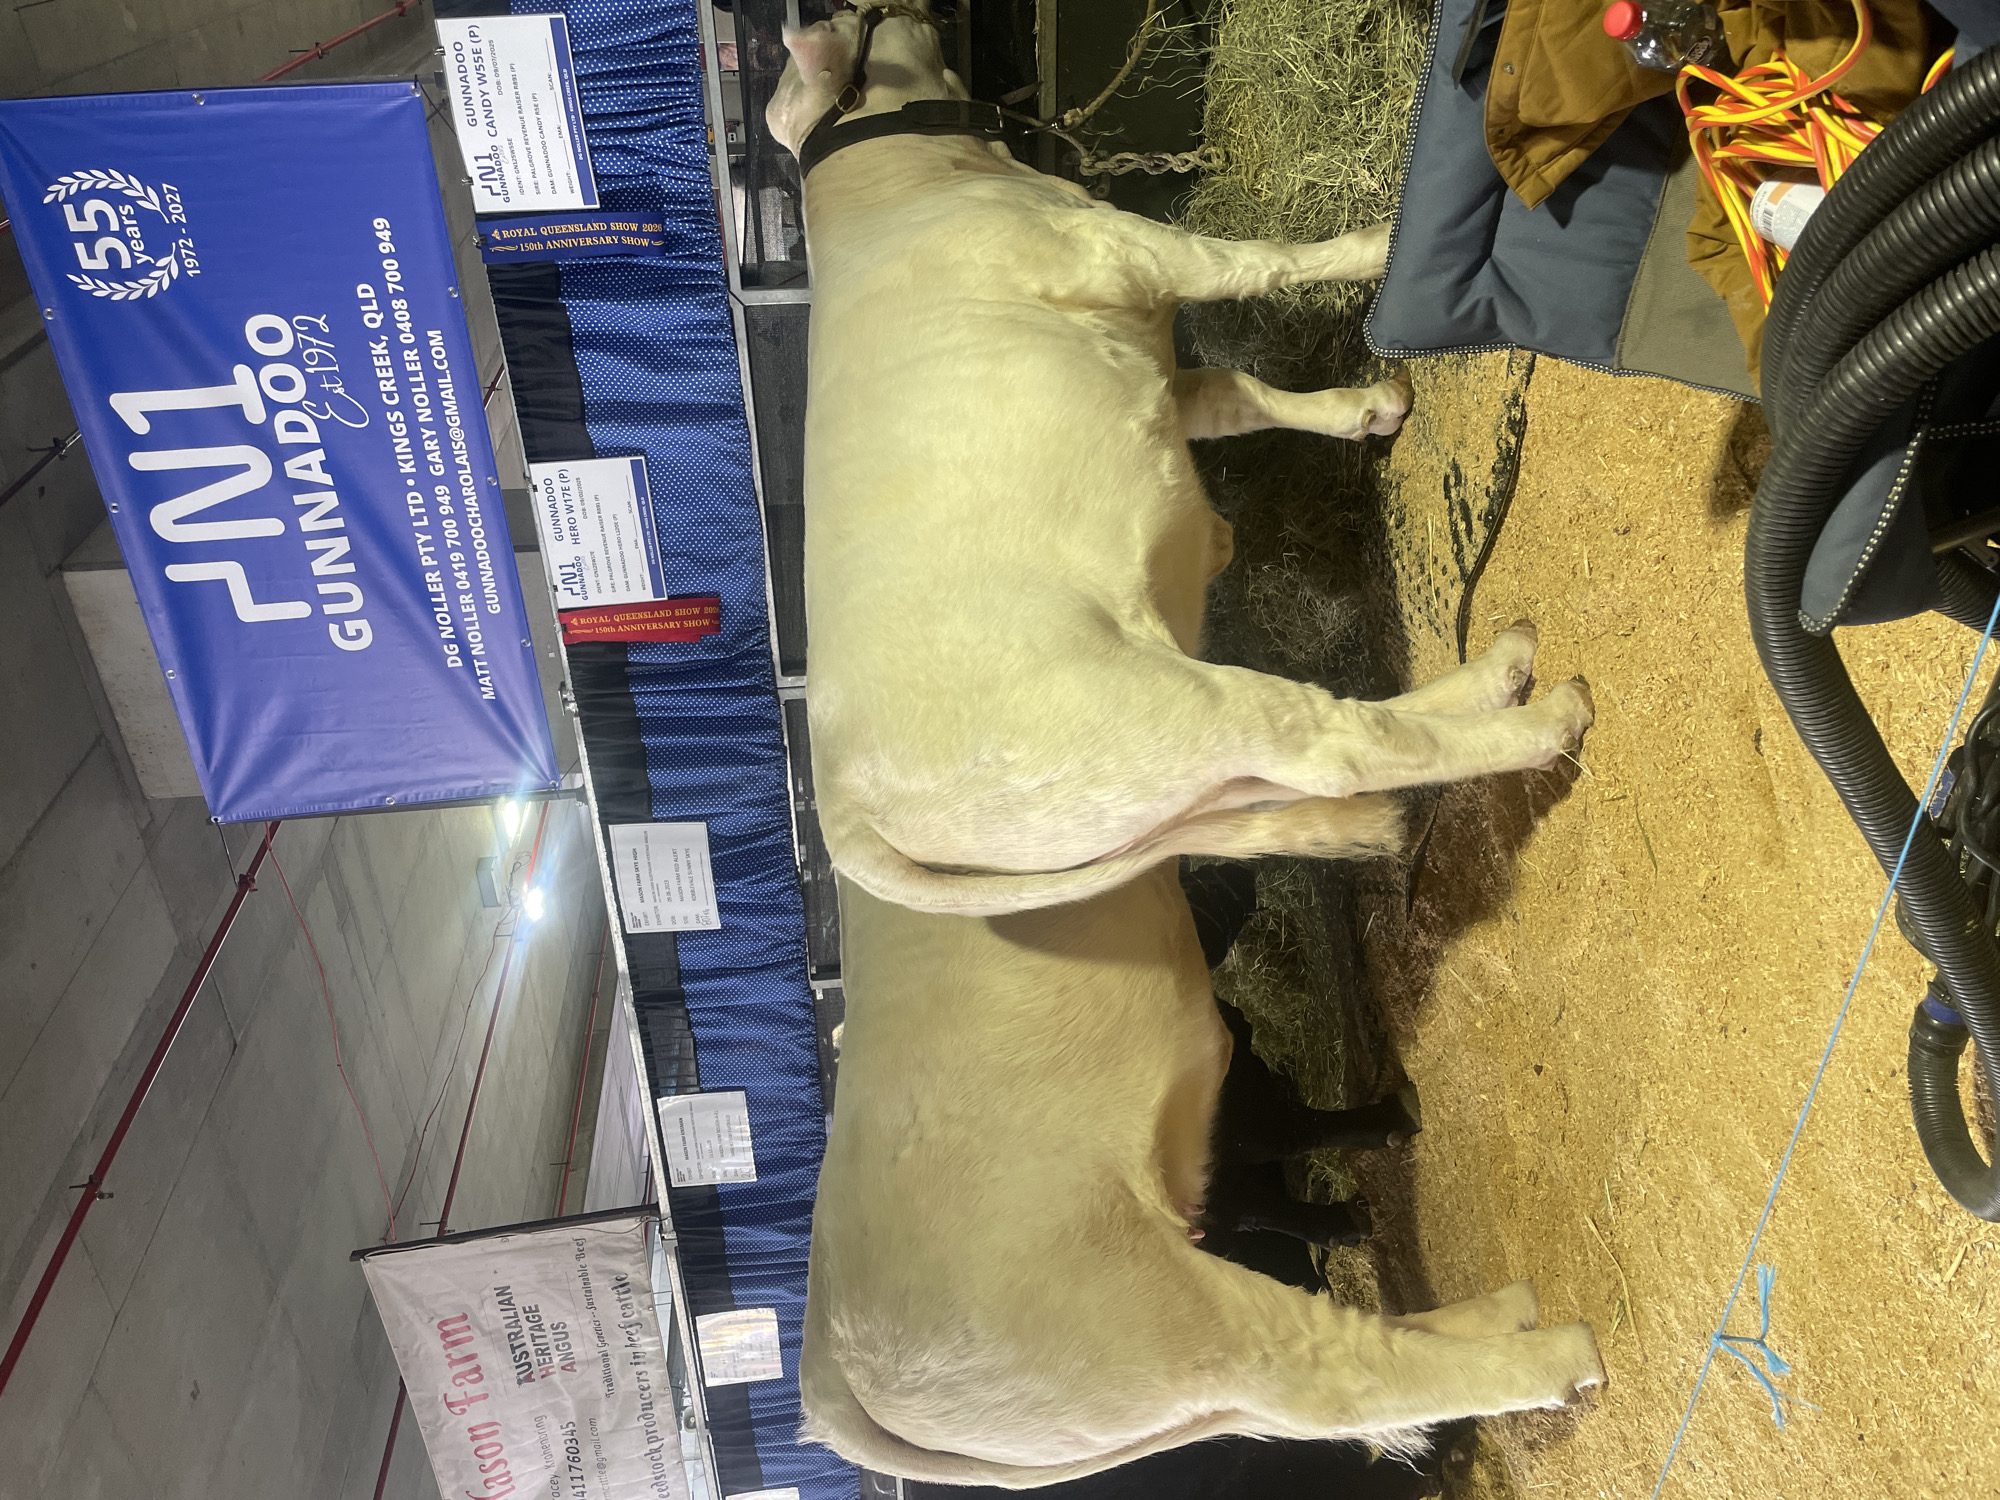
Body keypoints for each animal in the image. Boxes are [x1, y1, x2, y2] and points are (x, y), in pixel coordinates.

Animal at [767, 3, 1595, 917]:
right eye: (854, 17)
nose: (897, 7)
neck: (909, 179)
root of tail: (845, 815)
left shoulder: (1152, 354)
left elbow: (1236, 394)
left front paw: (1367, 409)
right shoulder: (1128, 247)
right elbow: (1259, 262)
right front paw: (1376, 248)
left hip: (1162, 788)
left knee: (1330, 745)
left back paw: (1496, 675)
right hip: (1165, 717)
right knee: (1340, 746)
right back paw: (1543, 716)